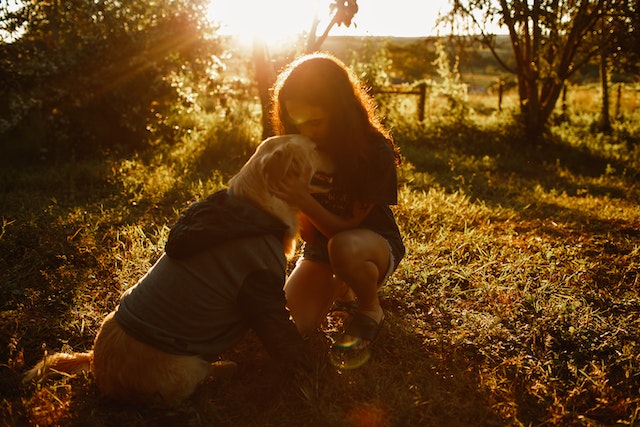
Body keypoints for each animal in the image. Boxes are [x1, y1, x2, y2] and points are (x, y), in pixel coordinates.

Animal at [23, 135, 336, 406]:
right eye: (313, 147)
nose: (335, 150)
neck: (254, 210)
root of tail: (99, 370)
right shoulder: (262, 291)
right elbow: (285, 337)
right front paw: (312, 367)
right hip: (189, 365)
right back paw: (228, 366)